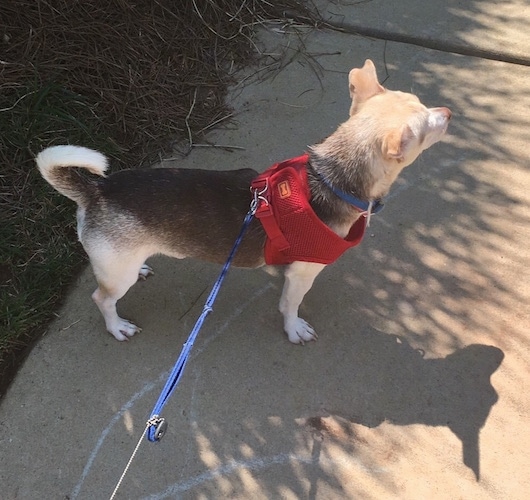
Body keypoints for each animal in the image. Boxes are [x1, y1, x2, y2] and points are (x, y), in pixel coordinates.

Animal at [37, 59, 450, 344]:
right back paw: (116, 326)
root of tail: (97, 189)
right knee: (102, 298)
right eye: (424, 126)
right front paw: (293, 328)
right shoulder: (303, 273)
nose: (447, 112)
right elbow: (290, 305)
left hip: (121, 260)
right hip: (115, 279)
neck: (330, 177)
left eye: (420, 102)